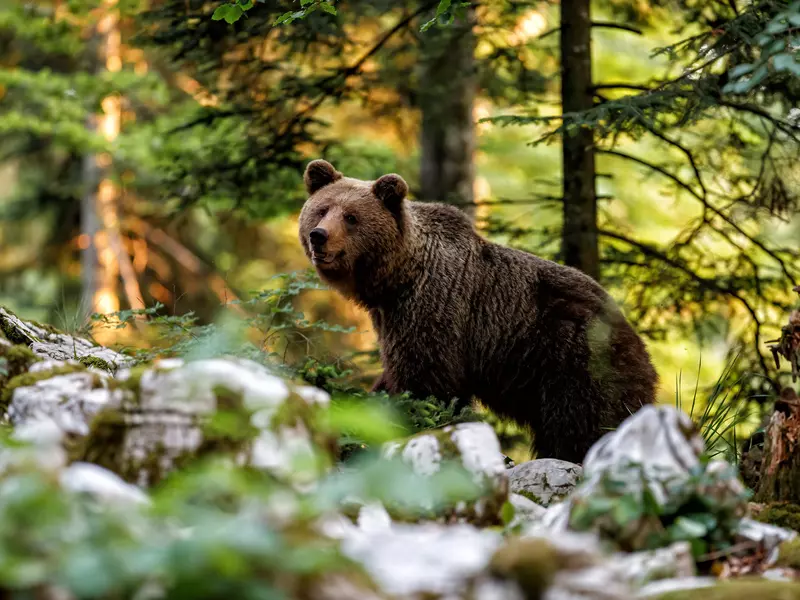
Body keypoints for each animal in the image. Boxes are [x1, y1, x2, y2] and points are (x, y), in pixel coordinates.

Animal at [298, 159, 658, 462]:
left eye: (351, 217)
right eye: (321, 210)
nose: (319, 236)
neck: (396, 280)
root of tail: (633, 335)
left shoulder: (434, 308)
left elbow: (428, 382)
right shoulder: (392, 320)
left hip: (576, 360)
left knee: (583, 423)